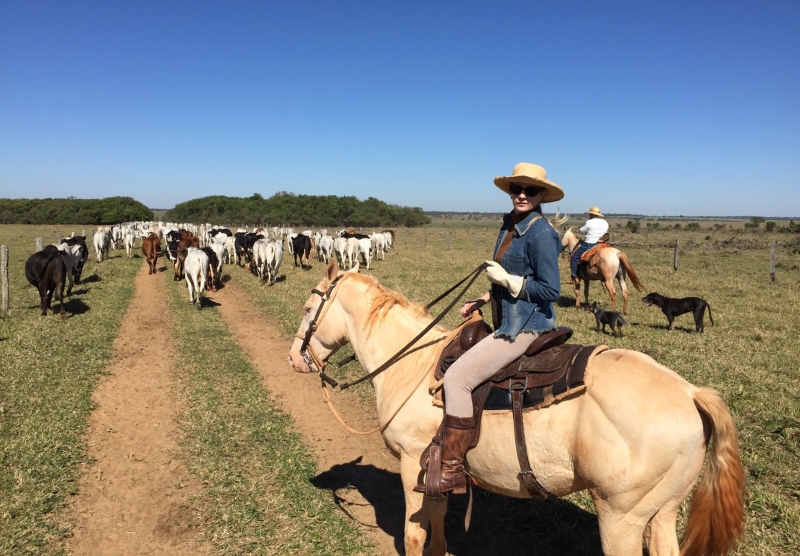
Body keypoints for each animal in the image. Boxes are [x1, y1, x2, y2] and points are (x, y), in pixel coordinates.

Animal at [286, 262, 744, 556]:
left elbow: (415, 534)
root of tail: (690, 393)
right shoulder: (433, 471)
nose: (294, 358)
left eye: (308, 310)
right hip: (662, 513)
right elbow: (438, 525)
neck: (412, 364)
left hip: (622, 519)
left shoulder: (411, 460)